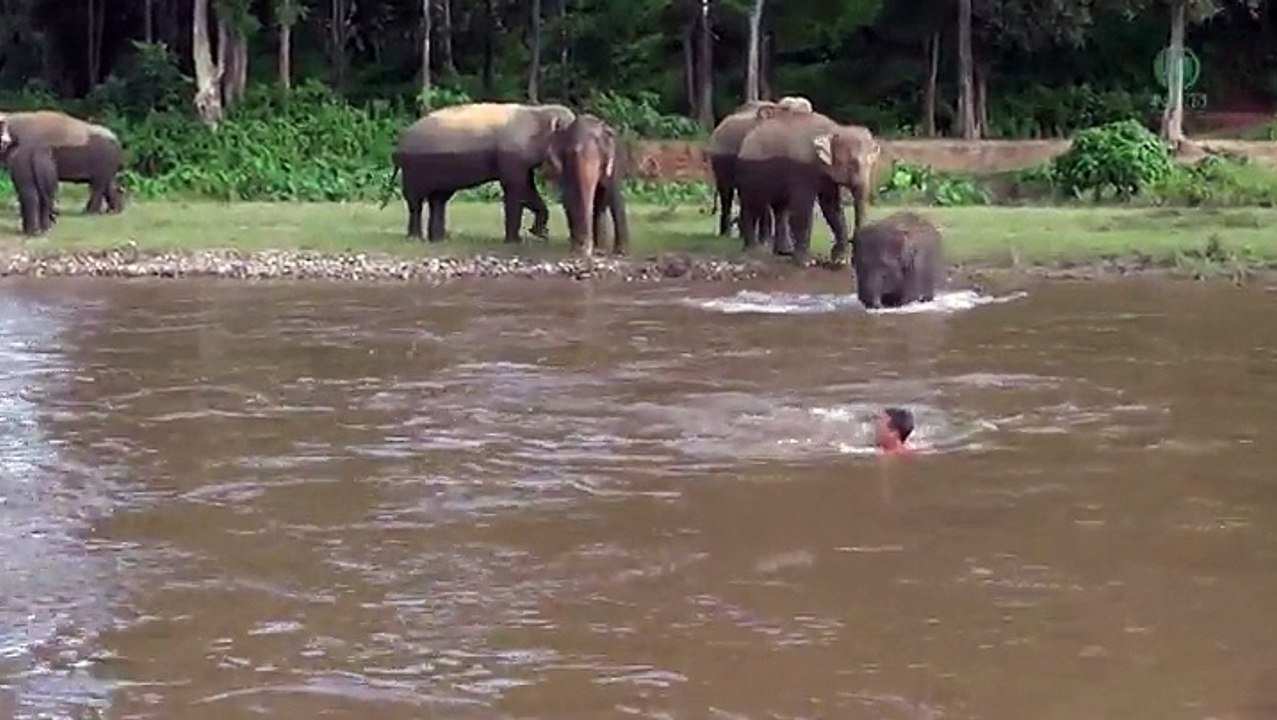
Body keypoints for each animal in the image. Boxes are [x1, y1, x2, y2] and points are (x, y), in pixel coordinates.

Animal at [387, 102, 576, 243]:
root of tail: (399, 144)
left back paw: (439, 239)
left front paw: (539, 233)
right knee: (416, 201)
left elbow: (527, 189)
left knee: (439, 199)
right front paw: (516, 241)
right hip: (414, 168)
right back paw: (415, 238)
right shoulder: (510, 157)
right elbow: (516, 190)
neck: (539, 112)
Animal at [547, 113, 630, 257]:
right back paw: (598, 249)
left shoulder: (613, 164)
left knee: (602, 203)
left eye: (600, 156)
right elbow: (569, 198)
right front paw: (576, 250)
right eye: (571, 154)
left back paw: (600, 249)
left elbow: (614, 198)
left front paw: (621, 252)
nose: (585, 249)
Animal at [735, 110, 880, 264]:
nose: (853, 241)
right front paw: (806, 262)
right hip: (748, 174)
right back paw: (752, 251)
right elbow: (803, 207)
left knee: (781, 209)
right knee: (752, 205)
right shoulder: (801, 169)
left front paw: (839, 260)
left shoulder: (827, 177)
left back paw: (784, 251)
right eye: (852, 163)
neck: (833, 129)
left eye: (872, 162)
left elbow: (831, 207)